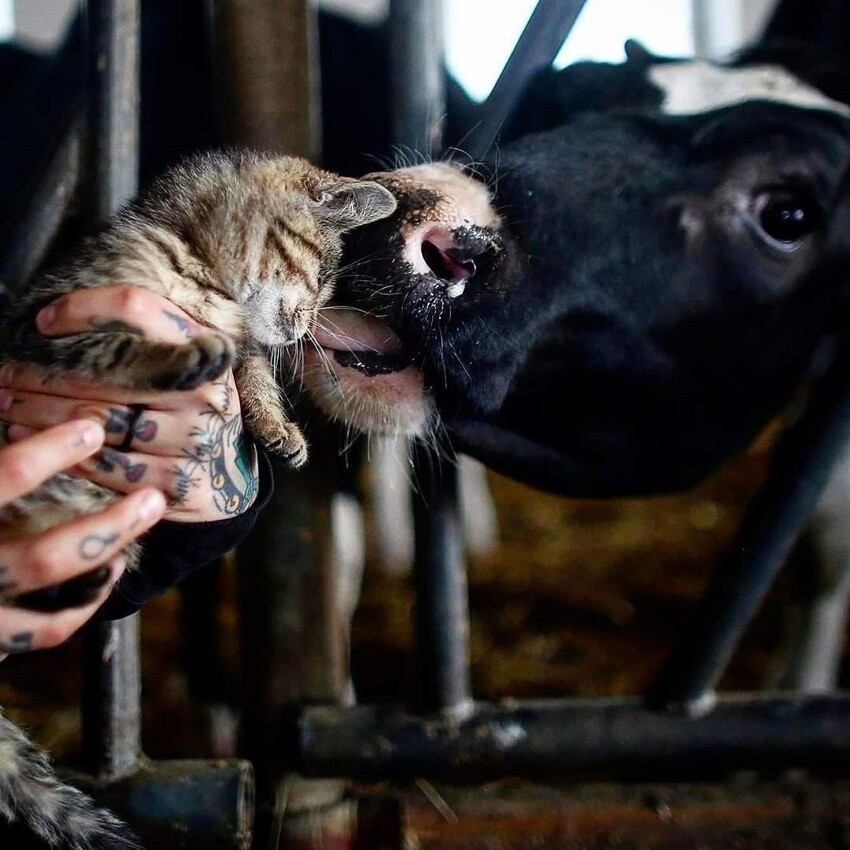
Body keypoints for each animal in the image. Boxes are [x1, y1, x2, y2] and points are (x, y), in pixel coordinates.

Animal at [0, 149, 394, 844]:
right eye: (321, 274)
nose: (306, 327)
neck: (202, 269)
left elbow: (251, 368)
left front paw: (276, 425)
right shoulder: (47, 318)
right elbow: (116, 340)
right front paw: (185, 353)